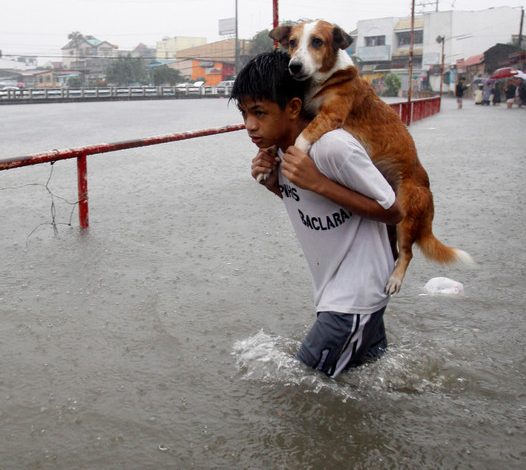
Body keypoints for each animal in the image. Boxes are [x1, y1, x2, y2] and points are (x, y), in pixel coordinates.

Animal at [270, 19, 472, 294]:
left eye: (317, 42)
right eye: (292, 42)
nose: (294, 66)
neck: (326, 78)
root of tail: (428, 195)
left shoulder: (331, 115)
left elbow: (303, 137)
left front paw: (296, 156)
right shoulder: (311, 112)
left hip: (405, 215)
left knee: (408, 253)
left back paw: (395, 279)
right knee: (396, 250)